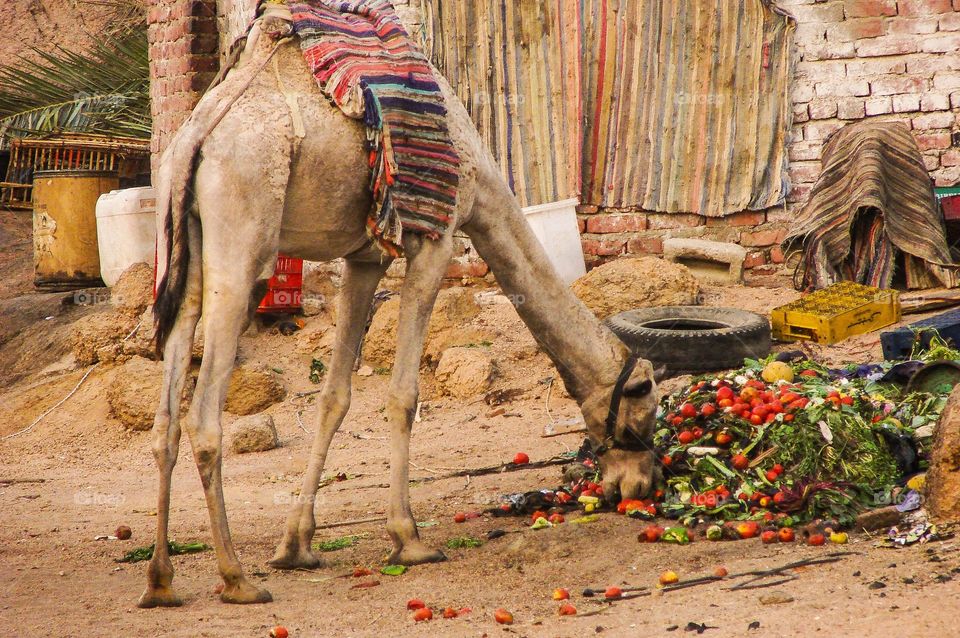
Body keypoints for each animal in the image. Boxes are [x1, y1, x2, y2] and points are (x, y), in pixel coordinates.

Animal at [141, 11, 660, 608]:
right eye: (644, 404)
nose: (641, 484)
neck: (481, 181)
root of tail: (193, 140)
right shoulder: (436, 238)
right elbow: (403, 394)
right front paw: (408, 539)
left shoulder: (364, 257)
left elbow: (334, 397)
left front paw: (296, 545)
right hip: (242, 236)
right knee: (203, 415)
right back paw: (236, 578)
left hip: (181, 252)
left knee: (166, 414)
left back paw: (161, 581)